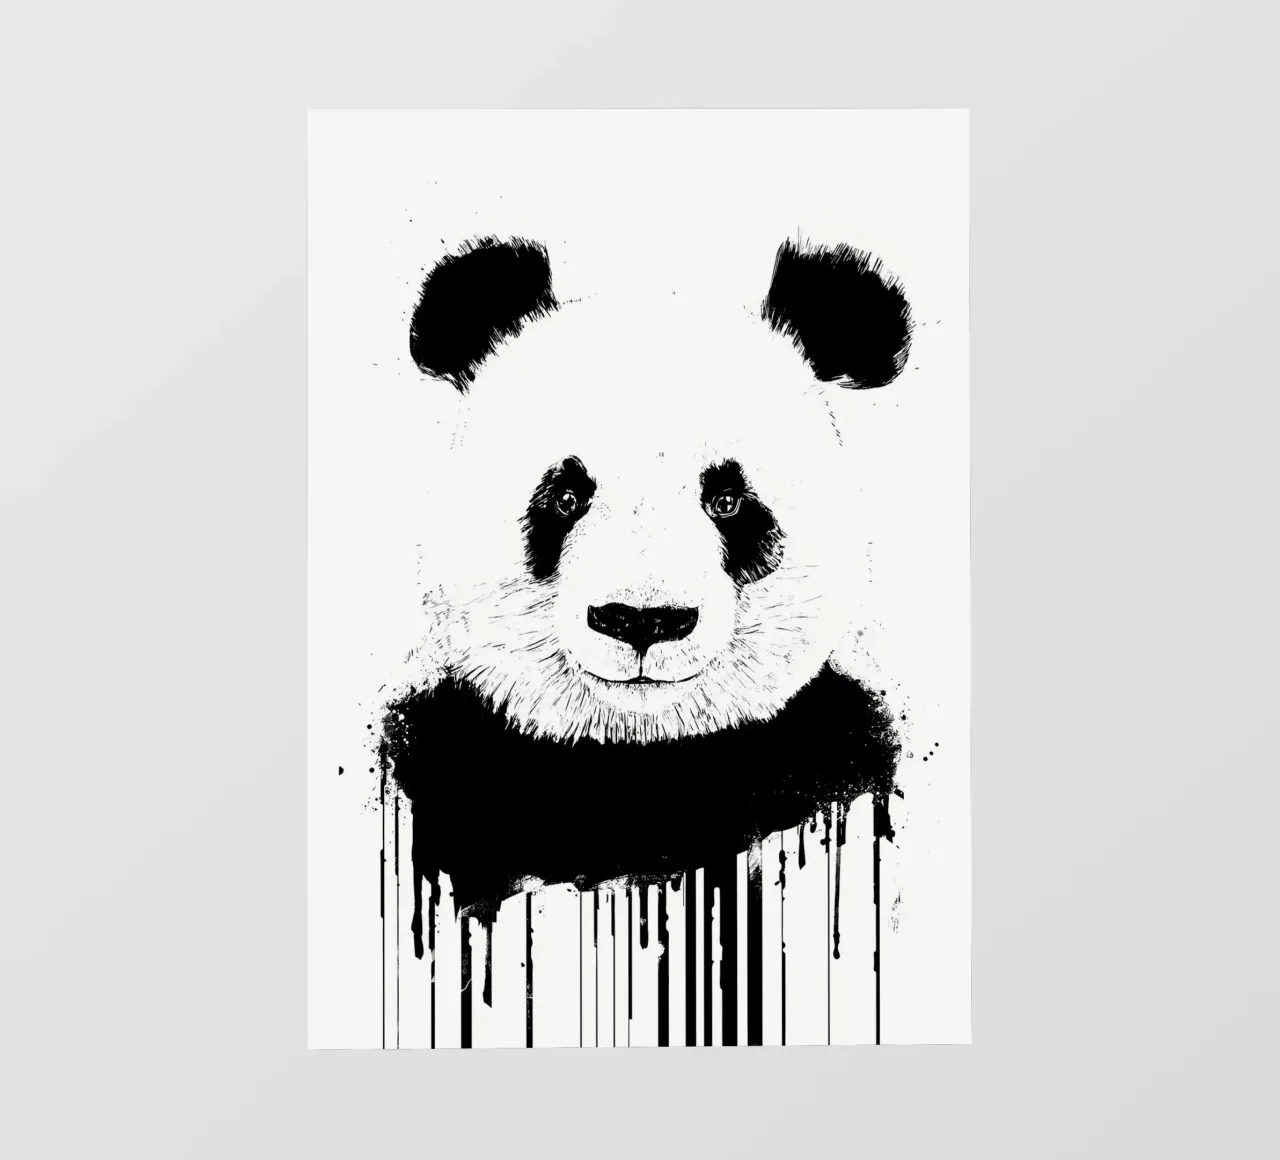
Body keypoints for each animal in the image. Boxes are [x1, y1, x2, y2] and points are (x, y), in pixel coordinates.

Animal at [379, 235, 912, 942]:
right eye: (565, 496)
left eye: (727, 500)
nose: (641, 620)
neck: (639, 762)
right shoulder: (451, 759)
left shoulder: (829, 753)